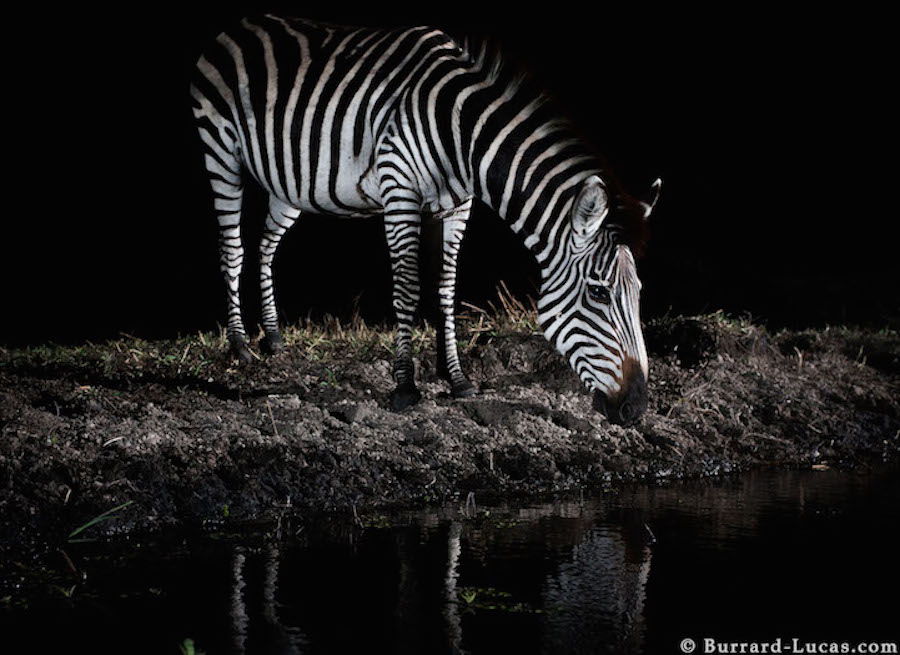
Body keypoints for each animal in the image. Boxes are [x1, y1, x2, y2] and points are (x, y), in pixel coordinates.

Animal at [192, 16, 660, 426]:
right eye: (598, 293)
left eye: (638, 291)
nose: (636, 409)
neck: (463, 138)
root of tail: (242, 24)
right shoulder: (399, 190)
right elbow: (408, 288)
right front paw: (405, 386)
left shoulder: (458, 207)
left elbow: (446, 289)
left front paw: (456, 378)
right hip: (221, 152)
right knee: (233, 248)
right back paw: (240, 346)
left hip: (292, 180)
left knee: (266, 244)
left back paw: (272, 337)